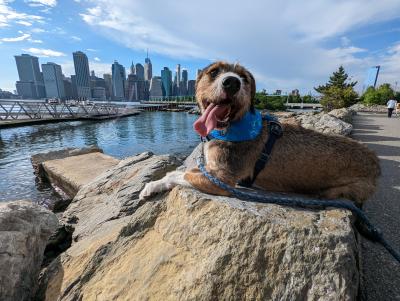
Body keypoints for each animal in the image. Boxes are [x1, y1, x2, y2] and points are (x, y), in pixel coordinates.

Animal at [141, 60, 382, 204]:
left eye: (245, 78)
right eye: (214, 72)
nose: (232, 82)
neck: (233, 126)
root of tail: (376, 163)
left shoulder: (222, 178)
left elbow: (184, 175)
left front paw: (153, 184)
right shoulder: (210, 169)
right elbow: (180, 172)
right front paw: (155, 183)